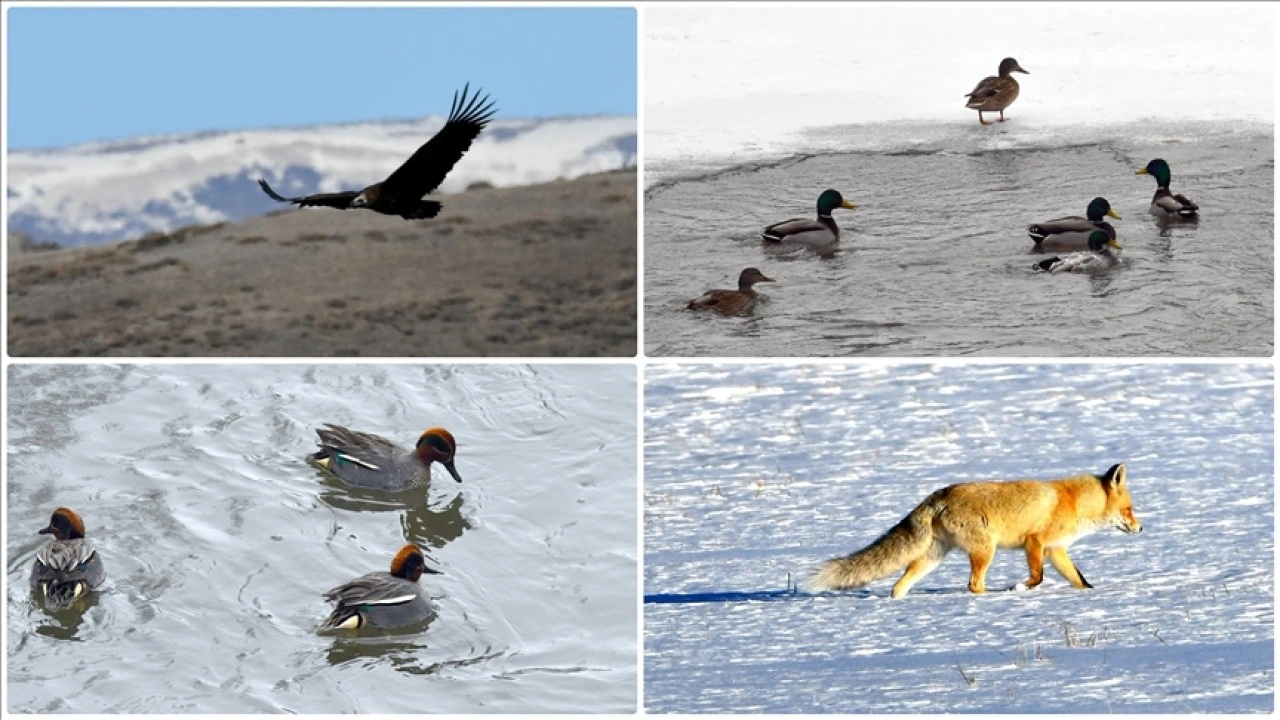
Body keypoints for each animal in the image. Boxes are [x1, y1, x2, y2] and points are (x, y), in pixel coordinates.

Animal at [808, 461, 1141, 597]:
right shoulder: (1035, 542)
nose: (1140, 528)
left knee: (898, 586)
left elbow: (1079, 579)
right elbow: (1037, 577)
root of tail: (939, 495)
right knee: (973, 584)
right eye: (1129, 510)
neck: (1073, 503)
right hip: (985, 550)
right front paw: (1019, 589)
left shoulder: (1055, 549)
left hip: (933, 557)